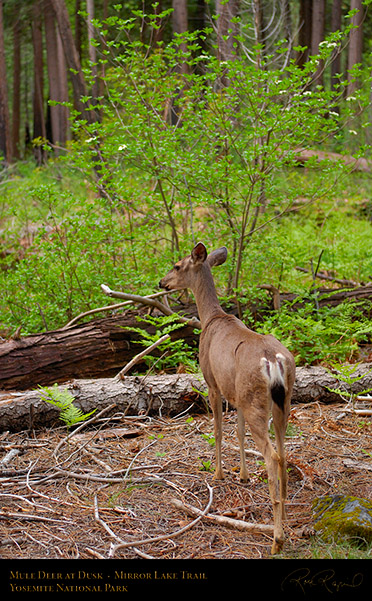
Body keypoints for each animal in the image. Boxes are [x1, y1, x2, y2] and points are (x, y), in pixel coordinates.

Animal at [160, 241, 296, 552]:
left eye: (177, 265)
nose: (162, 283)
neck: (210, 318)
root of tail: (274, 362)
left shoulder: (212, 382)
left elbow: (219, 431)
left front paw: (219, 473)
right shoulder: (236, 396)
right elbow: (239, 432)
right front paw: (243, 475)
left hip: (256, 400)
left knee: (272, 456)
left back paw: (277, 539)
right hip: (281, 400)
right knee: (284, 452)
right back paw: (285, 514)